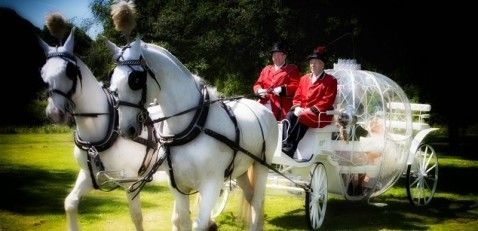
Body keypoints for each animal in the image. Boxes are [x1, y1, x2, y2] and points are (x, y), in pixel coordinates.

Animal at [38, 29, 159, 230]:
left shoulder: (130, 180)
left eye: (70, 71)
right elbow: (70, 203)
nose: (54, 113)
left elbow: (136, 216)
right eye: (42, 73)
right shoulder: (88, 175)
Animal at [104, 38, 276, 230]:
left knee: (257, 201)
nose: (126, 129)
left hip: (262, 165)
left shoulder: (211, 185)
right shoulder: (178, 186)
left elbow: (198, 224)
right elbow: (184, 221)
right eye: (113, 82)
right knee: (250, 197)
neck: (192, 126)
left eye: (135, 80)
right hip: (241, 170)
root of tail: (263, 109)